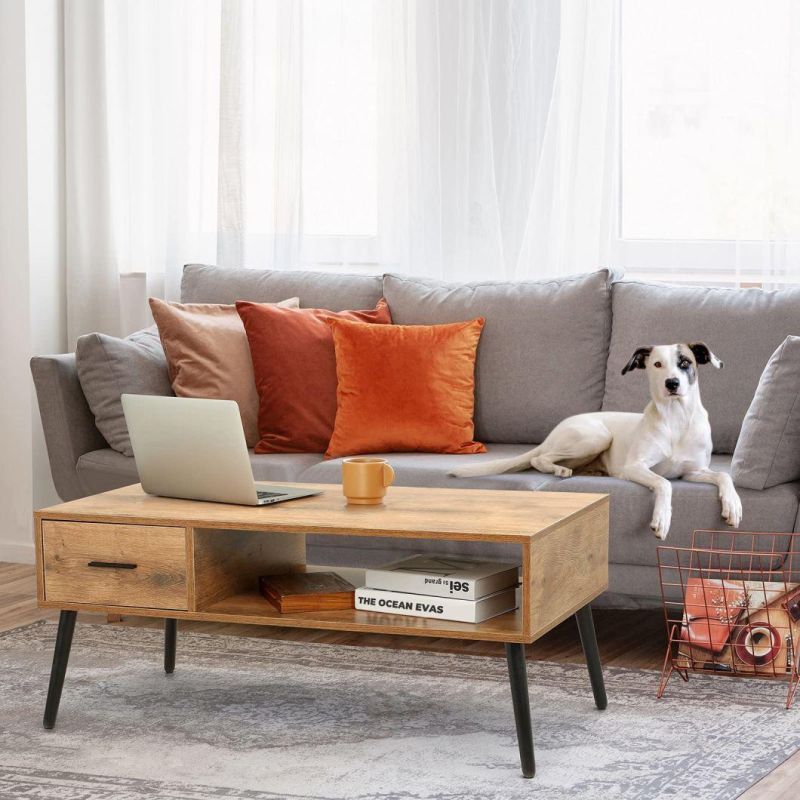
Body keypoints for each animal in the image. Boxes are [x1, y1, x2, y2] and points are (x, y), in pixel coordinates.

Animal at [450, 340, 744, 540]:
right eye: (657, 364)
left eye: (685, 362)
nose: (672, 383)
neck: (676, 419)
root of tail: (556, 430)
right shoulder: (635, 467)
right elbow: (664, 483)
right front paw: (662, 519)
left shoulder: (693, 471)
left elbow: (723, 476)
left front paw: (733, 506)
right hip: (596, 436)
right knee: (539, 458)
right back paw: (559, 469)